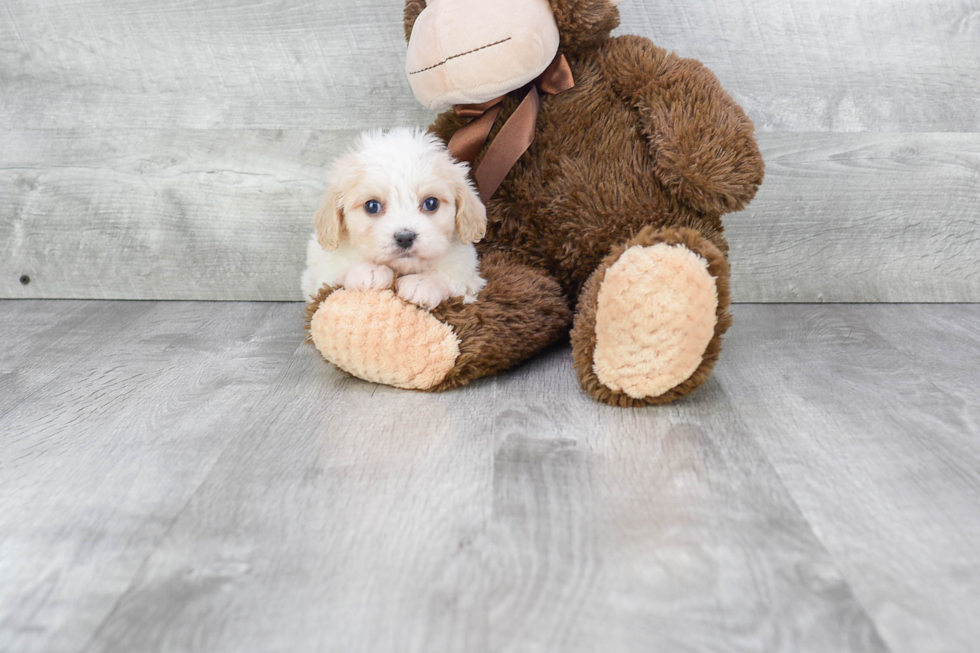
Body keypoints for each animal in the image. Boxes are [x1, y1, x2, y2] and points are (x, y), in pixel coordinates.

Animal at [296, 130, 484, 310]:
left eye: (431, 203)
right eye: (372, 206)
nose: (405, 237)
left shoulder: (467, 273)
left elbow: (449, 276)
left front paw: (422, 283)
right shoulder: (322, 271)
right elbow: (339, 269)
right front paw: (370, 271)